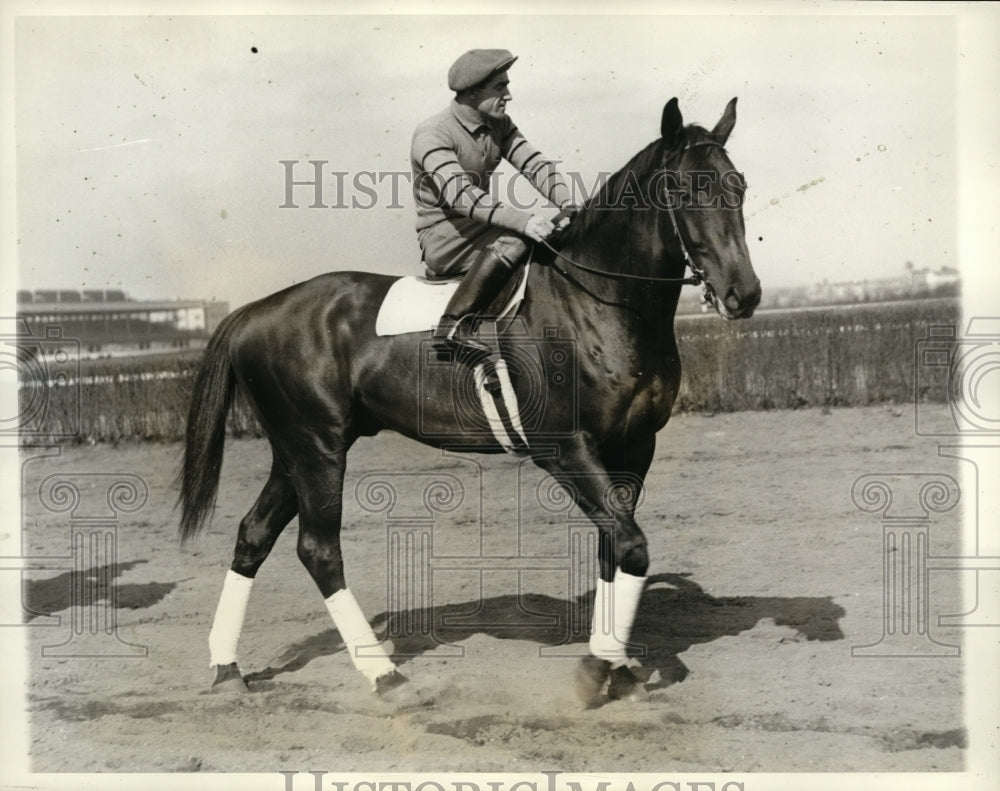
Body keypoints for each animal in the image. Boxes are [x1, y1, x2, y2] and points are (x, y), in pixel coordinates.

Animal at [178, 97, 756, 704]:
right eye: (684, 188)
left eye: (738, 185)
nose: (744, 293)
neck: (598, 303)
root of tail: (255, 310)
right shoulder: (566, 448)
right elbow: (631, 545)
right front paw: (597, 669)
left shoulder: (634, 445)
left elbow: (614, 547)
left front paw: (616, 665)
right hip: (317, 449)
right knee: (318, 550)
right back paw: (383, 674)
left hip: (295, 450)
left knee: (254, 534)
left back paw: (227, 666)